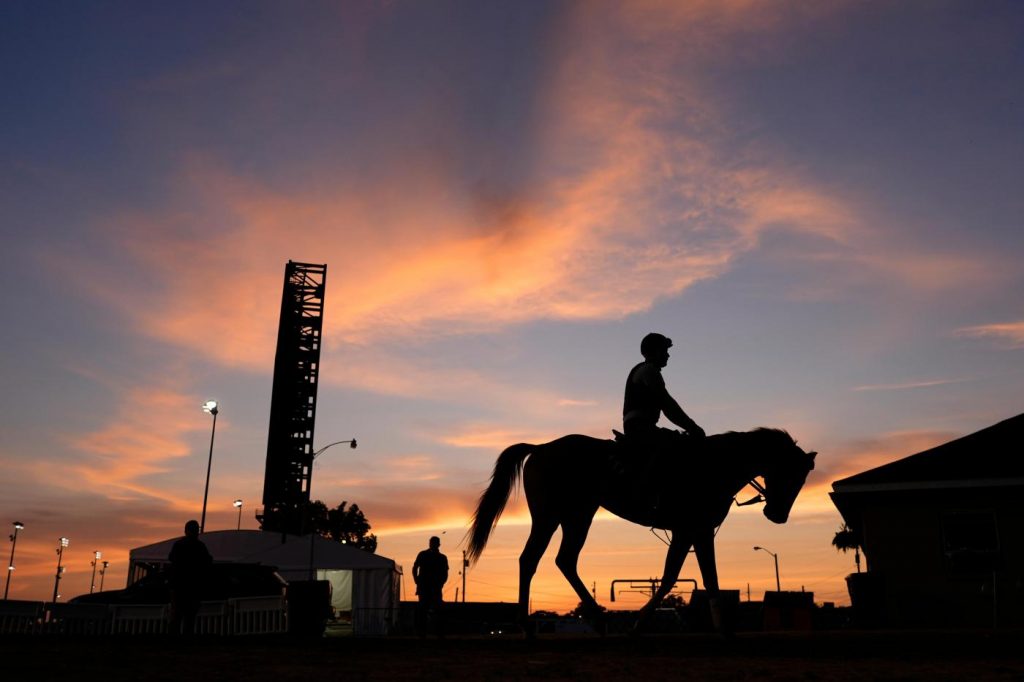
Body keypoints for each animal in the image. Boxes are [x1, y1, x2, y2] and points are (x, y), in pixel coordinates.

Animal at [466, 428, 815, 630]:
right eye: (789, 474)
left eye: (802, 480)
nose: (777, 514)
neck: (712, 466)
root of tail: (540, 448)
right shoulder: (692, 529)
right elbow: (681, 577)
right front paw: (640, 622)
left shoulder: (695, 531)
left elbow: (699, 579)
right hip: (550, 516)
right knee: (531, 560)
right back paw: (528, 626)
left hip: (577, 515)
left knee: (564, 560)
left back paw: (598, 619)